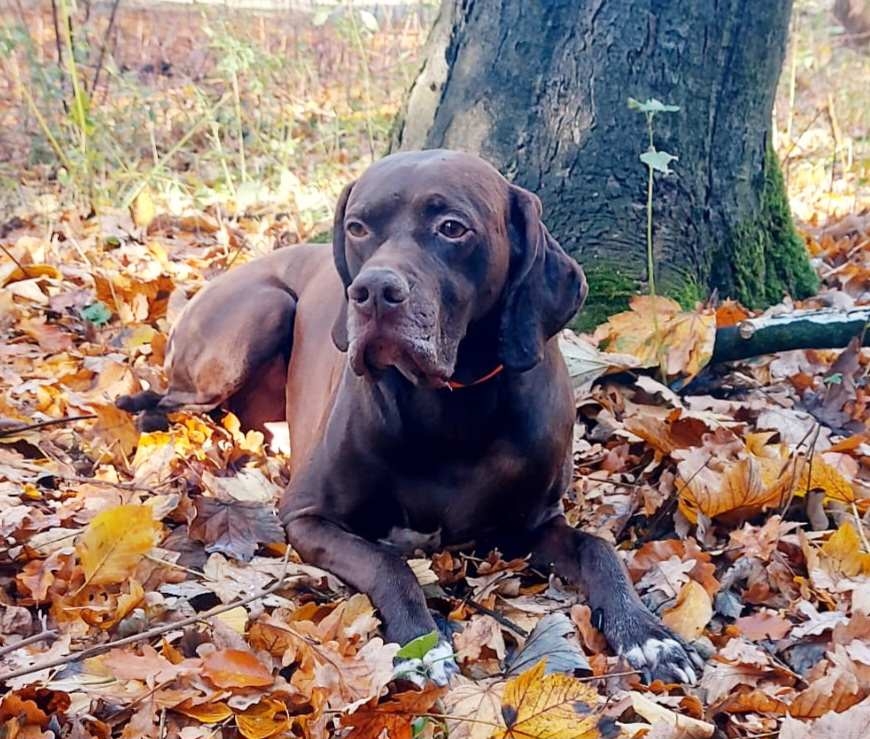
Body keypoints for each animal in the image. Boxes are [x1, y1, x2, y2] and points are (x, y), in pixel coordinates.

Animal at [118, 150, 702, 685]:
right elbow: (388, 564)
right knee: (166, 404)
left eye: (452, 228)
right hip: (258, 315)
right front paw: (424, 642)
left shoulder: (531, 524)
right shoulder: (305, 516)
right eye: (357, 227)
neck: (449, 407)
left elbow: (599, 549)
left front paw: (647, 634)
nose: (374, 291)